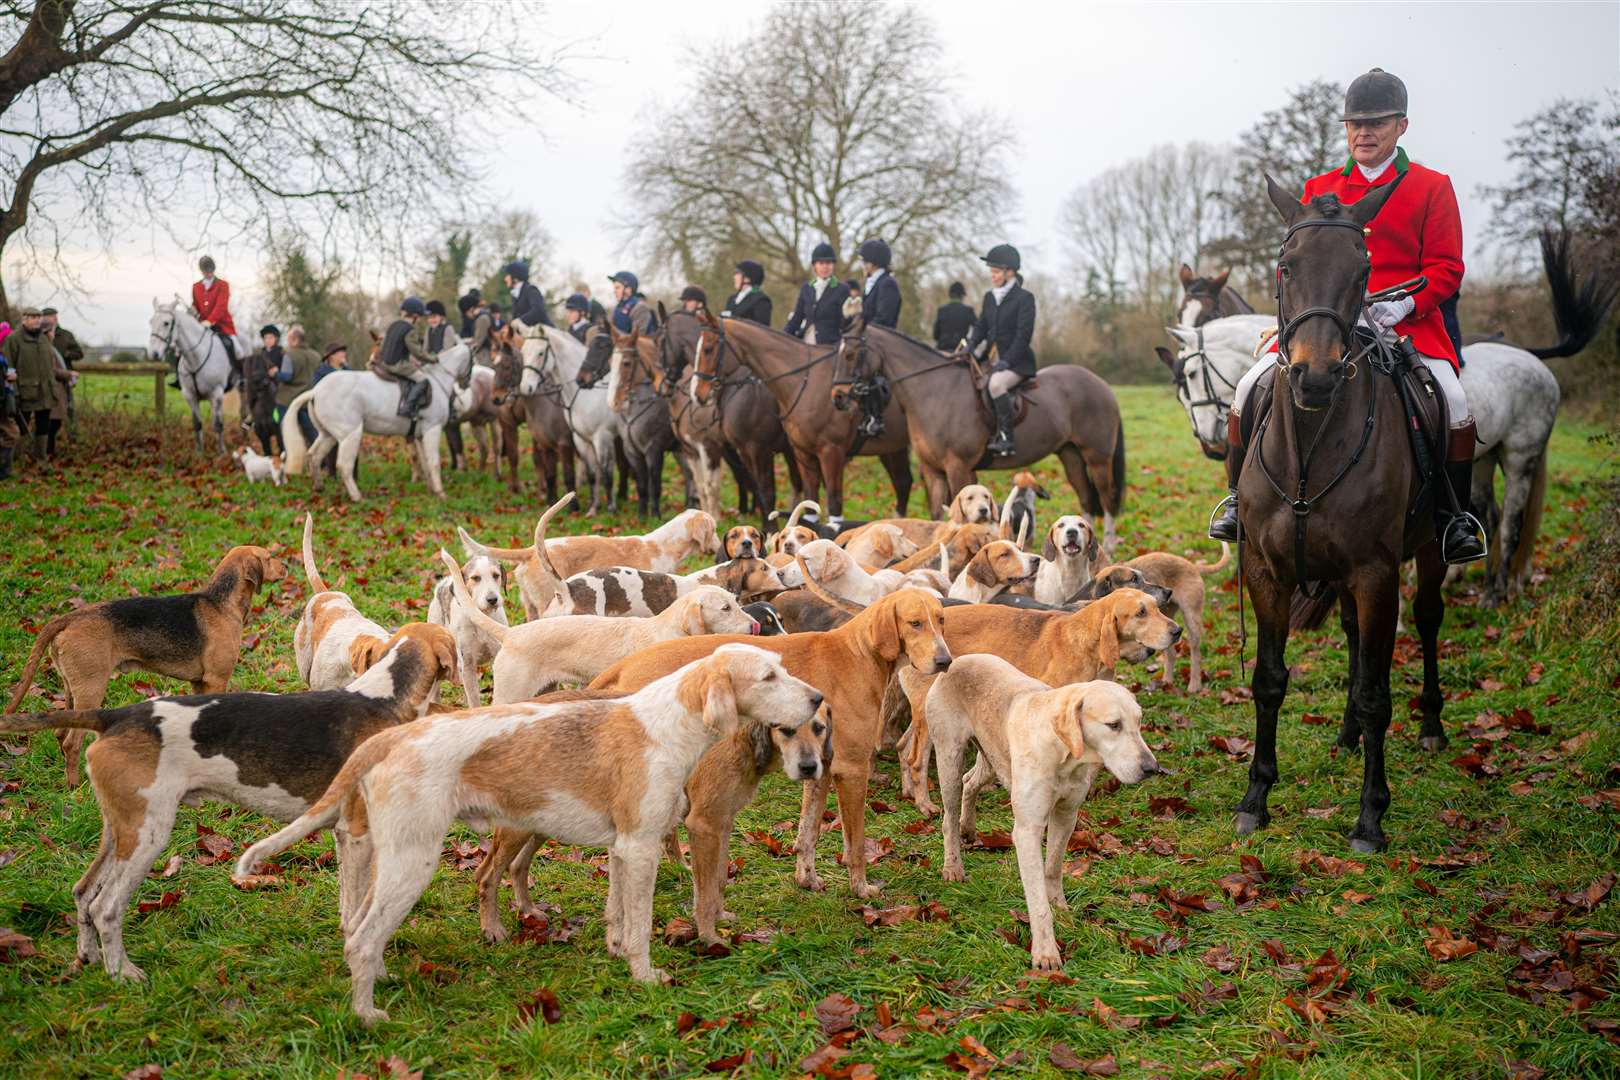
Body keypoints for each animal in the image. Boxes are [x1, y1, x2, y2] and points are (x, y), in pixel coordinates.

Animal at [149, 297, 247, 453]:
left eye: (166, 323)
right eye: (151, 322)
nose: (153, 353)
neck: (195, 357)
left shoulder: (216, 394)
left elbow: (218, 424)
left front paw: (222, 452)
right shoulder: (190, 396)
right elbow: (197, 423)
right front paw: (199, 452)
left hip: (242, 387)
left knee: (243, 411)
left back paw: (244, 435)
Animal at [277, 338, 469, 501]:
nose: (465, 385)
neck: (437, 382)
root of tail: (315, 391)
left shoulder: (420, 435)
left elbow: (425, 461)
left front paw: (431, 489)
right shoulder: (432, 429)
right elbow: (434, 462)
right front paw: (441, 493)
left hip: (328, 435)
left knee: (314, 456)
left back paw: (319, 487)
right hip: (350, 434)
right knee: (344, 465)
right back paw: (357, 497)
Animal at [518, 325, 618, 514]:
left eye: (540, 353)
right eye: (523, 352)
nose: (526, 388)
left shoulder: (598, 437)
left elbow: (601, 472)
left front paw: (607, 507)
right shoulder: (576, 440)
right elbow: (589, 473)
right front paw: (592, 507)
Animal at [699, 314, 920, 521]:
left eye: (708, 349)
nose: (699, 393)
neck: (804, 383)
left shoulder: (827, 452)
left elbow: (829, 502)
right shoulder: (796, 452)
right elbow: (802, 499)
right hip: (892, 448)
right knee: (903, 483)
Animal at [1231, 177, 1451, 854]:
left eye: (1364, 271)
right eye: (1286, 265)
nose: (1316, 375)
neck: (1309, 444)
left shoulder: (1376, 573)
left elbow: (1380, 693)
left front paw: (1371, 817)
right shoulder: (1266, 570)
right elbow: (1269, 679)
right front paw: (1256, 797)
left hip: (1428, 551)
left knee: (1427, 619)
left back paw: (1431, 726)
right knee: (1355, 637)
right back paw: (1349, 734)